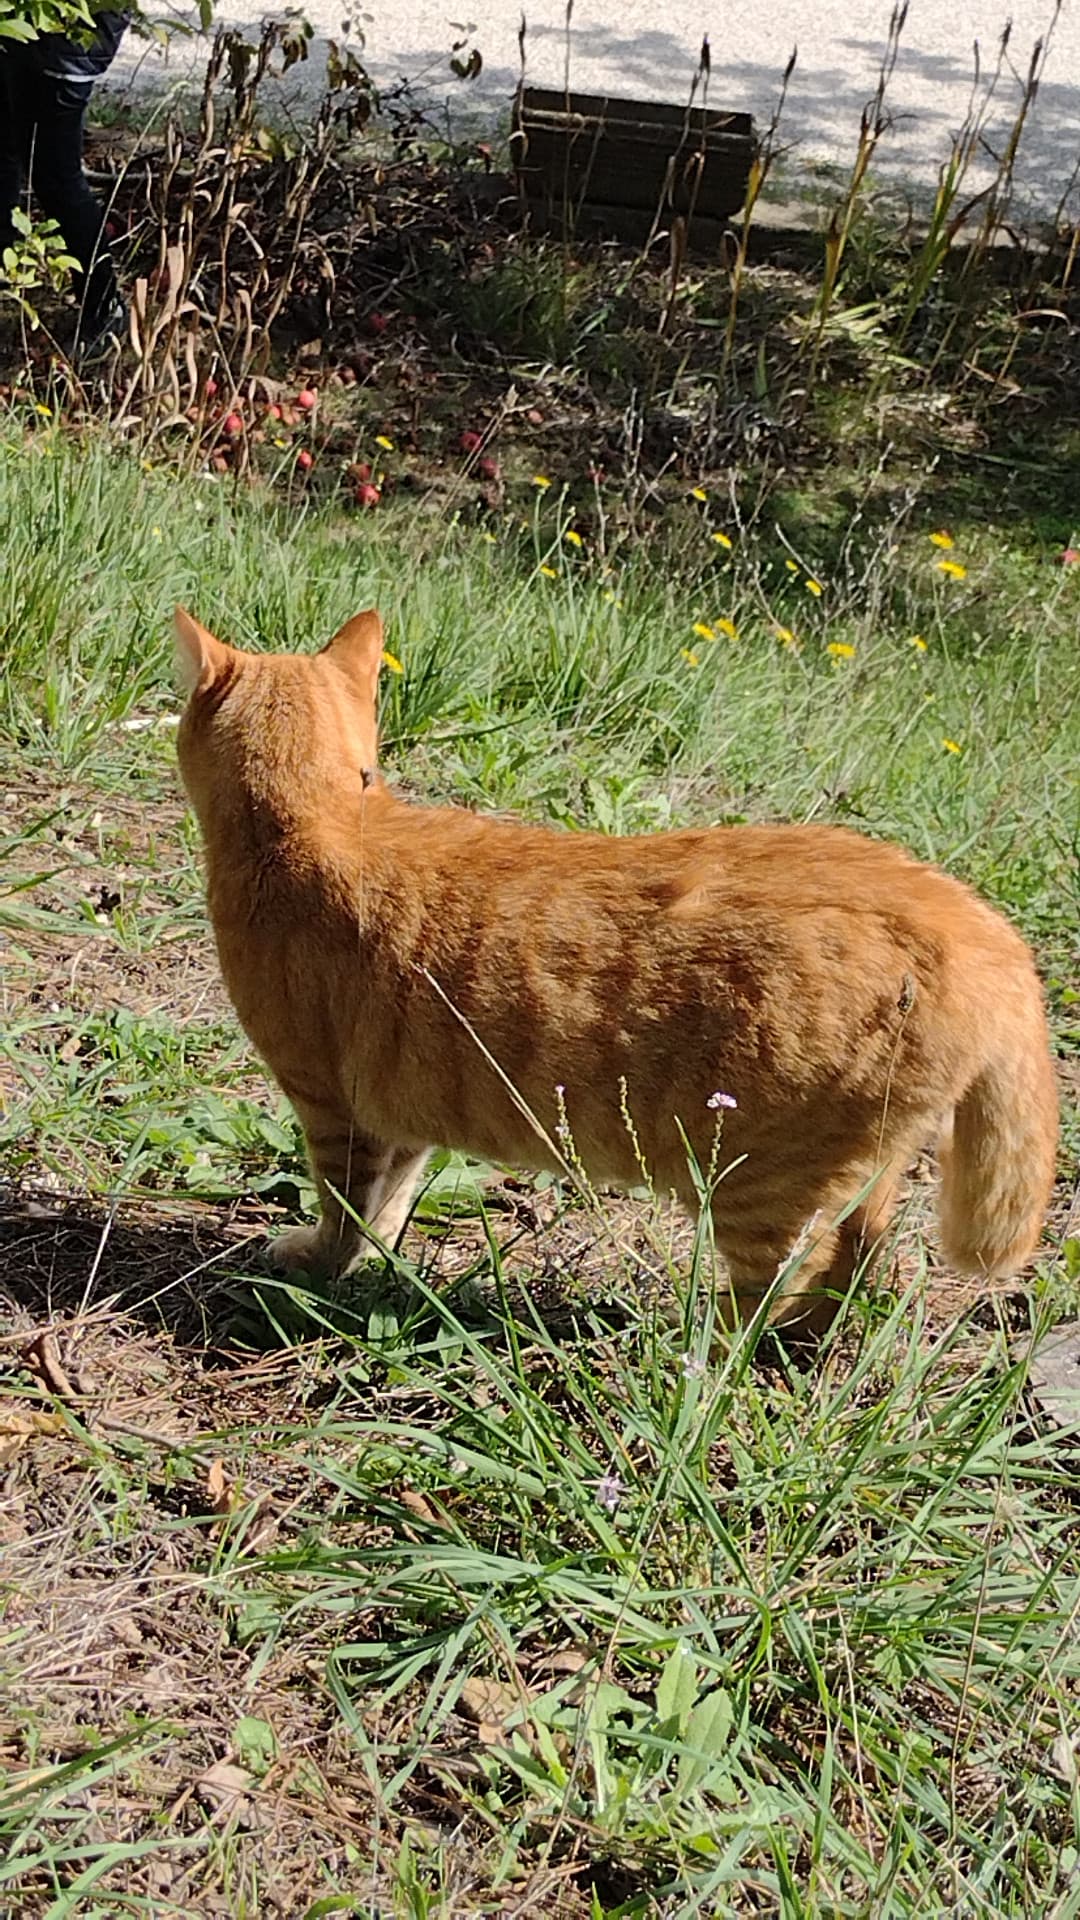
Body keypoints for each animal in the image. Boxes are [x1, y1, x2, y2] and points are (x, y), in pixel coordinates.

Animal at [174, 606, 1053, 1328]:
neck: (318, 821)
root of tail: (986, 931)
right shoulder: (406, 1104)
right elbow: (392, 1195)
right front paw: (377, 1255)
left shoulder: (330, 1105)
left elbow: (343, 1207)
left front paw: (320, 1264)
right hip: (865, 1171)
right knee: (861, 1260)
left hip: (758, 1186)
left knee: (785, 1280)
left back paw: (693, 1346)